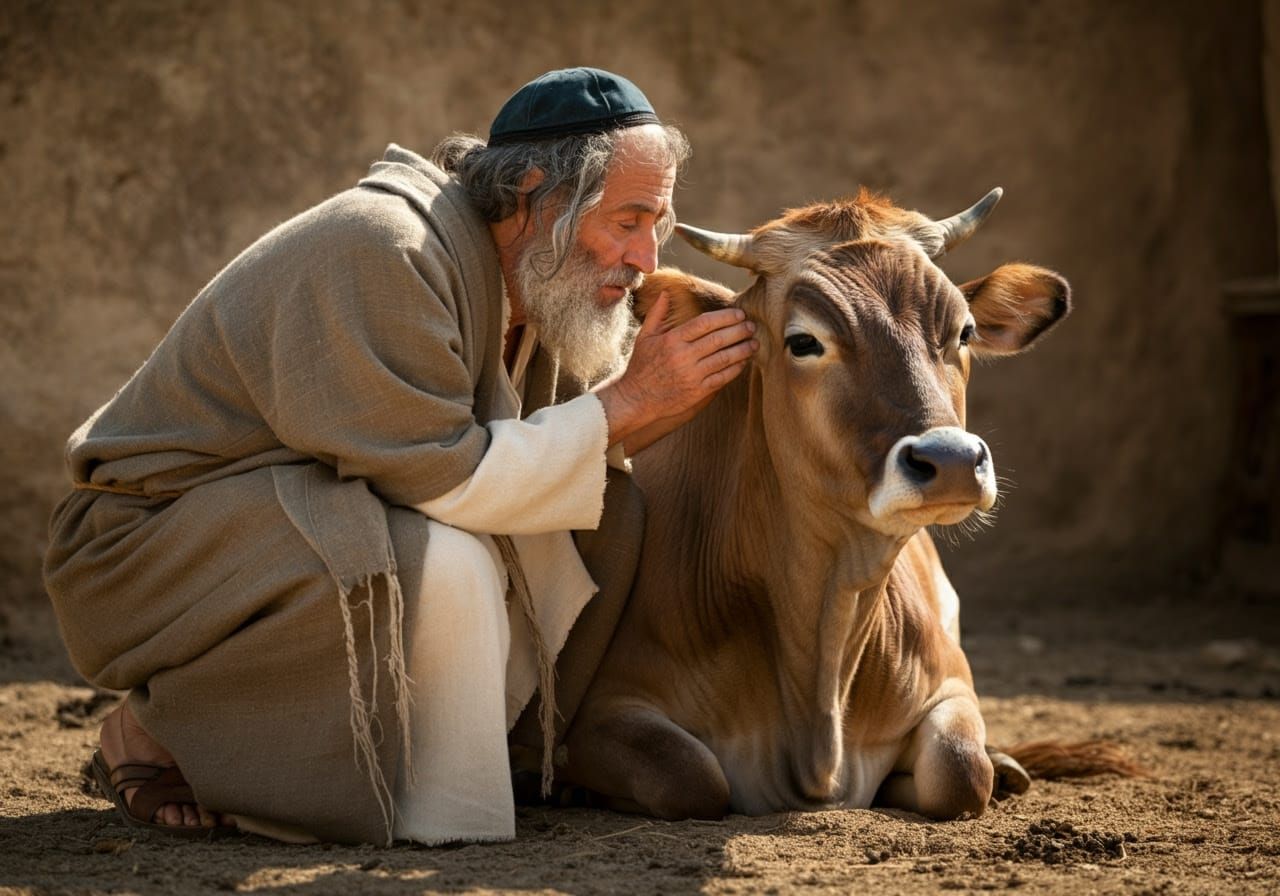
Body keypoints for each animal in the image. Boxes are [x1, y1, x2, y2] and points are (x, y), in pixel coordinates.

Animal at [552, 186, 1137, 821]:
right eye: (804, 341)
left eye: (964, 331)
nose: (952, 460)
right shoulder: (608, 708)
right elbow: (687, 776)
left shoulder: (952, 683)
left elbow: (961, 770)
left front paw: (977, 769)